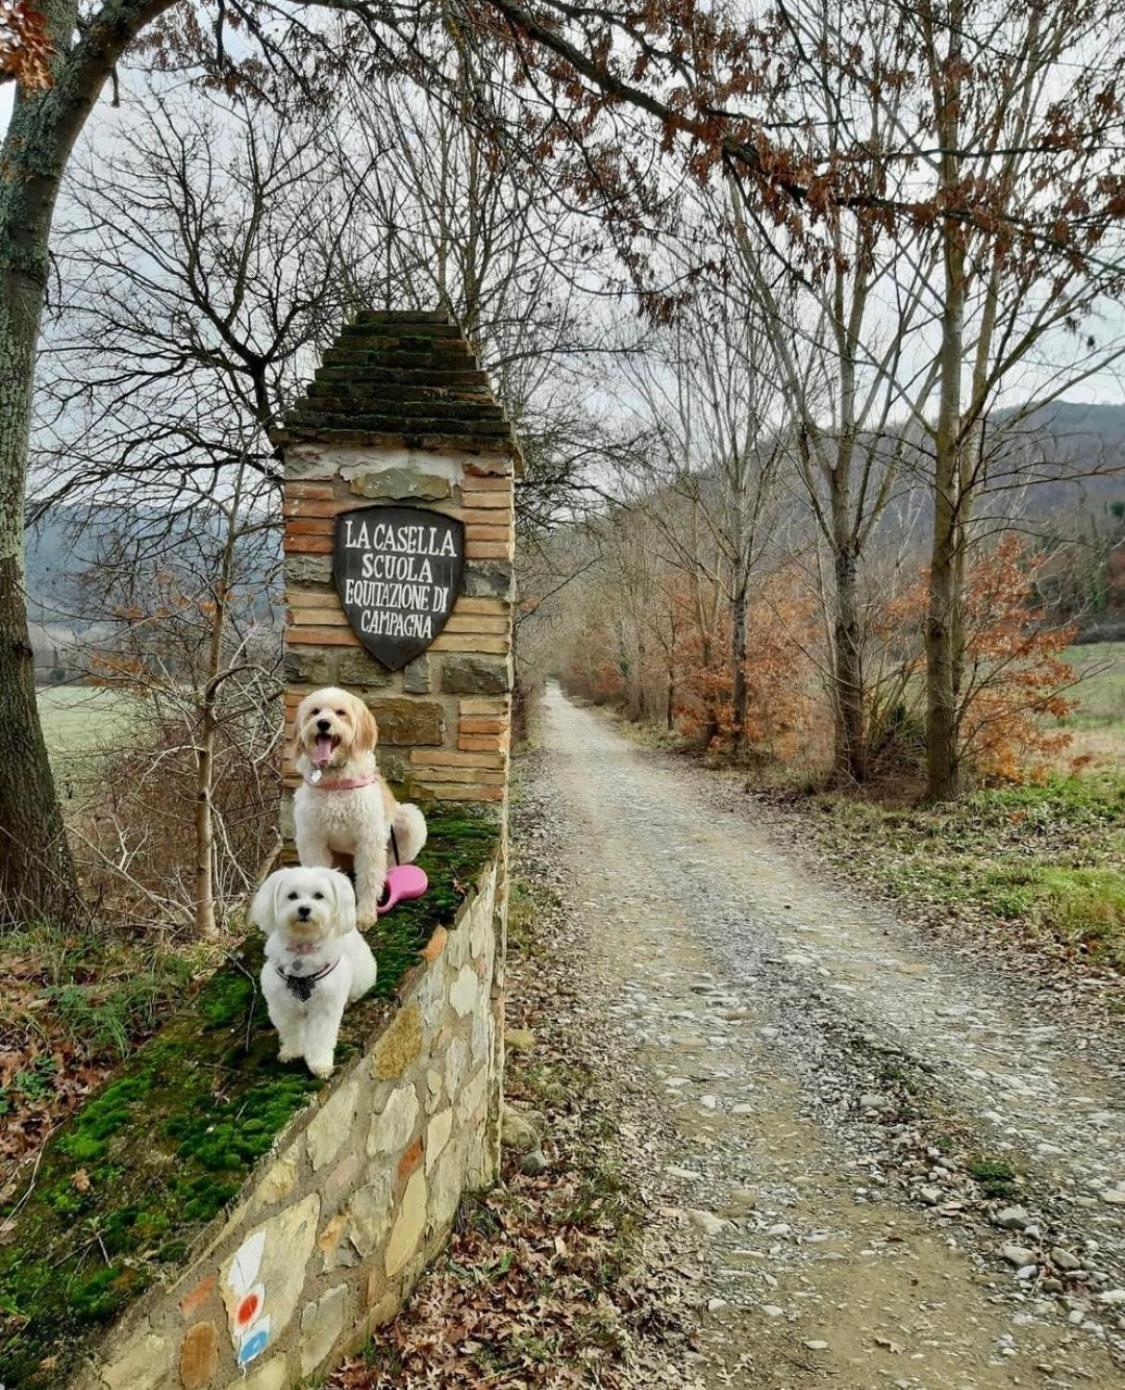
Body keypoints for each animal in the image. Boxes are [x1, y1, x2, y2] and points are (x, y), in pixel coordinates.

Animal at [251, 867, 378, 1073]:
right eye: (292, 896)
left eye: (319, 896)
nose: (304, 909)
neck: (303, 948)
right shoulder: (282, 1004)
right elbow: (291, 1030)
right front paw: (292, 1051)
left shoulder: (324, 1007)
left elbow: (320, 1037)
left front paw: (320, 1064)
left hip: (361, 978)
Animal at [292, 689, 428, 928]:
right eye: (315, 712)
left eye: (341, 712)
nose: (323, 723)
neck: (335, 780)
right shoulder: (312, 839)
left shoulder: (369, 840)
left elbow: (368, 879)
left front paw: (365, 914)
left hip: (409, 820)